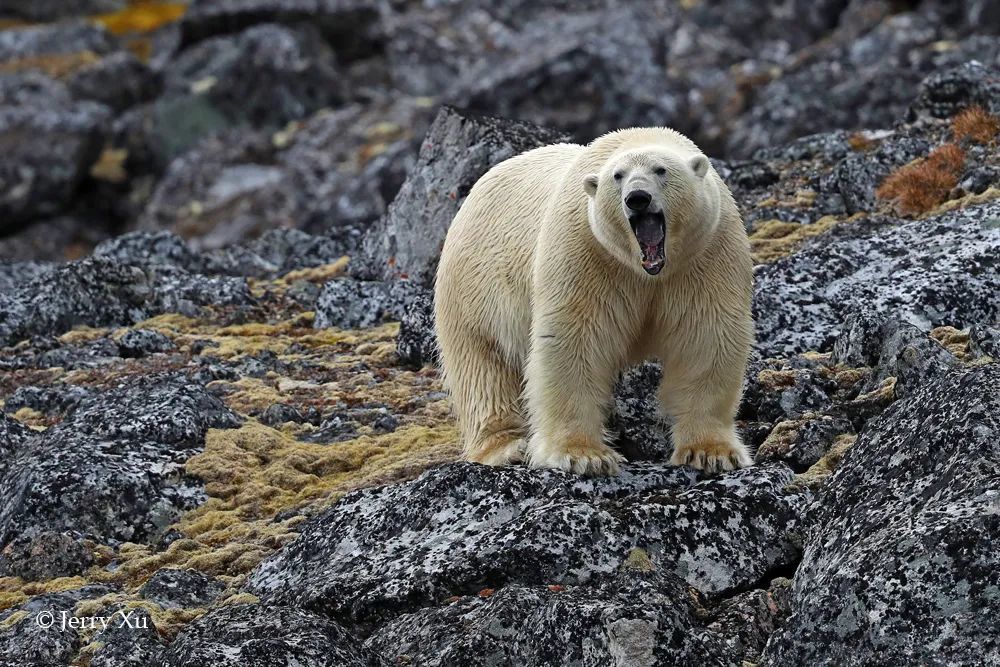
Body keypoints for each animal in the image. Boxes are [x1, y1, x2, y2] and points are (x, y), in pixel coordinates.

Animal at [434, 128, 752, 478]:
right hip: (474, 289)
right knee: (484, 369)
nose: (637, 198)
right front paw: (583, 456)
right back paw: (507, 447)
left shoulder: (708, 253)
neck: (648, 271)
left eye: (661, 170)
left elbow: (706, 339)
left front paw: (712, 453)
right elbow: (574, 340)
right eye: (618, 176)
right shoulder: (585, 249)